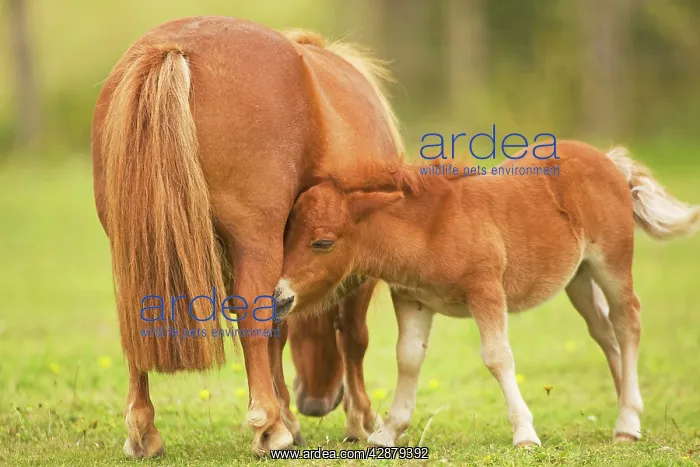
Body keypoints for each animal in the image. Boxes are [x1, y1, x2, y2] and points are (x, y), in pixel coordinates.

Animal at [91, 16, 401, 456]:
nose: (315, 402)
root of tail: (171, 48)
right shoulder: (354, 270)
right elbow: (352, 338)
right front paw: (360, 420)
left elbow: (278, 333)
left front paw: (290, 414)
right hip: (254, 242)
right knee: (256, 312)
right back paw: (269, 428)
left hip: (134, 252)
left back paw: (142, 432)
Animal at [273, 140, 700, 447]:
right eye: (287, 233)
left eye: (323, 242)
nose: (280, 298)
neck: (432, 226)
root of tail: (610, 162)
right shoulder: (412, 299)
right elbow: (408, 360)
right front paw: (387, 433)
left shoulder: (486, 291)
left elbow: (497, 357)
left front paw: (525, 434)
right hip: (578, 278)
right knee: (604, 332)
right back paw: (628, 412)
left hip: (611, 263)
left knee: (628, 322)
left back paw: (627, 421)